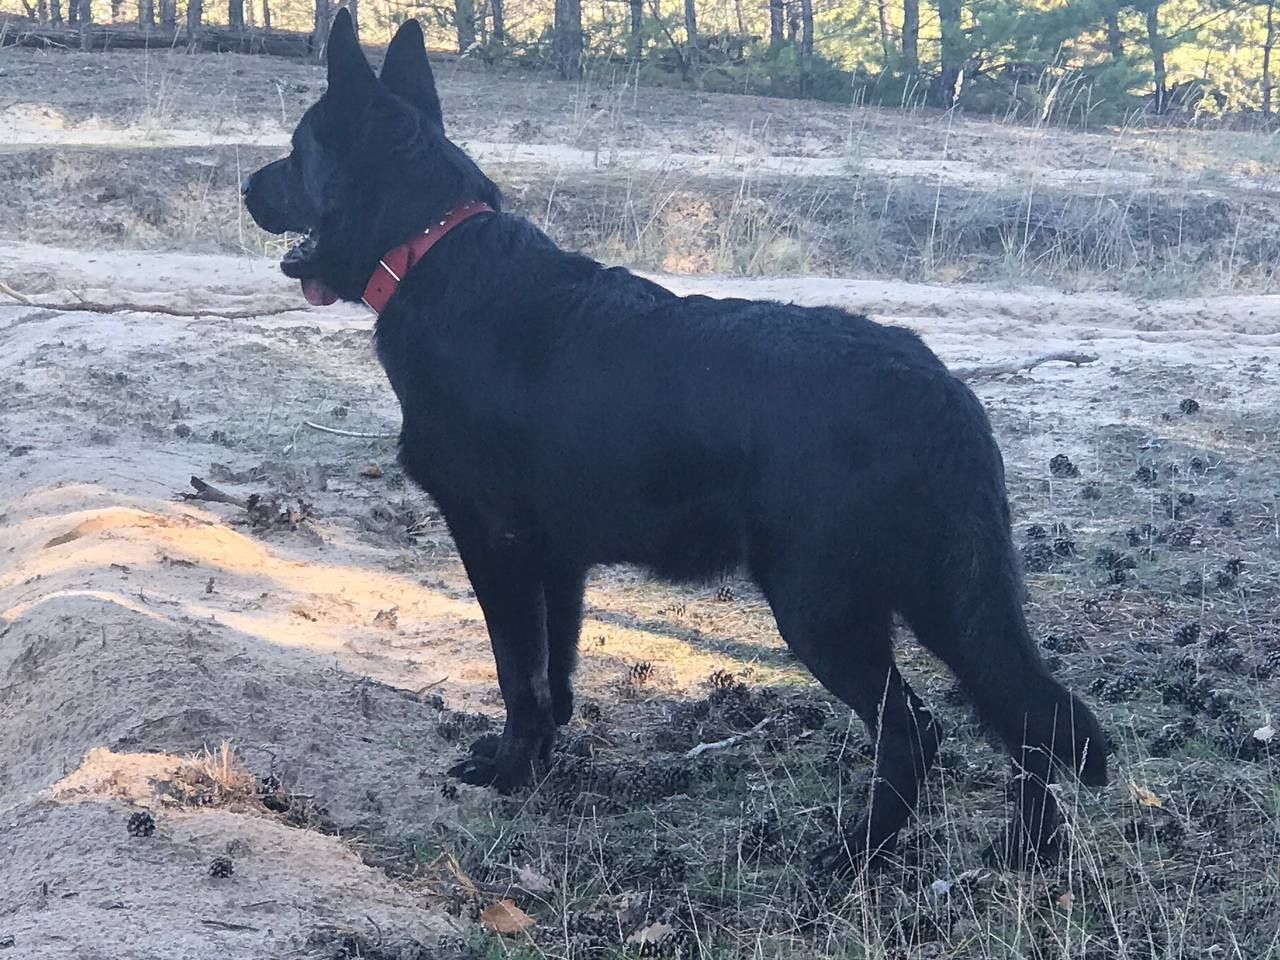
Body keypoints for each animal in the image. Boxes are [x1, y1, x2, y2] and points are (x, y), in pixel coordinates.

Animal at [244, 9, 1105, 870]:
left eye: (295, 150)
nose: (247, 187)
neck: (431, 248)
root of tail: (937, 387)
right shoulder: (558, 563)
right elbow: (553, 677)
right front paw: (540, 762)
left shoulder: (497, 545)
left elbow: (516, 672)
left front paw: (511, 770)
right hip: (945, 601)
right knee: (1032, 715)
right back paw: (1028, 851)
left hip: (823, 607)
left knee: (916, 732)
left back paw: (855, 855)